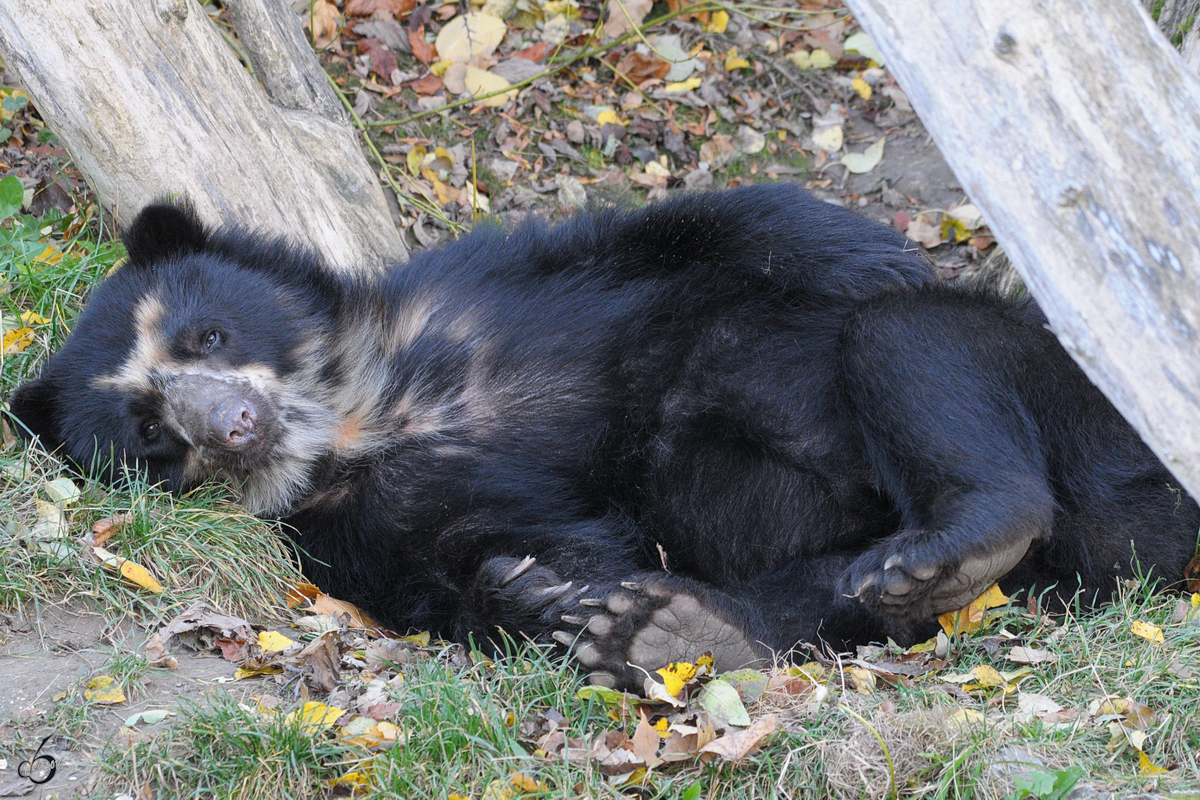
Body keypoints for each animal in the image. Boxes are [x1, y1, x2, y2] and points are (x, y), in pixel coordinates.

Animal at [11, 185, 1200, 690]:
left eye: (207, 333)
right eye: (152, 433)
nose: (237, 424)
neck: (359, 415)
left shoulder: (490, 287)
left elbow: (732, 230)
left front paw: (857, 251)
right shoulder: (357, 529)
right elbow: (460, 569)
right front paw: (542, 593)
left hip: (1072, 389)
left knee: (904, 334)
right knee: (820, 591)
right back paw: (668, 628)